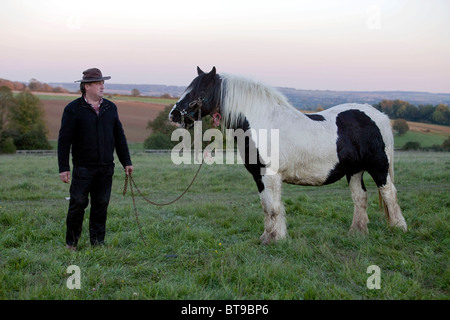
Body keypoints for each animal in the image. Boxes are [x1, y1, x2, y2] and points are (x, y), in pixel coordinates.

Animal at [169, 66, 408, 244]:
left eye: (199, 92)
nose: (173, 115)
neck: (263, 121)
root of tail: (379, 116)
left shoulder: (271, 175)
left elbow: (274, 208)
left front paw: (277, 239)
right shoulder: (258, 176)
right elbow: (266, 206)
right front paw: (266, 237)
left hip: (379, 168)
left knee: (389, 193)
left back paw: (399, 228)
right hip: (355, 171)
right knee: (360, 198)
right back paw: (356, 233)